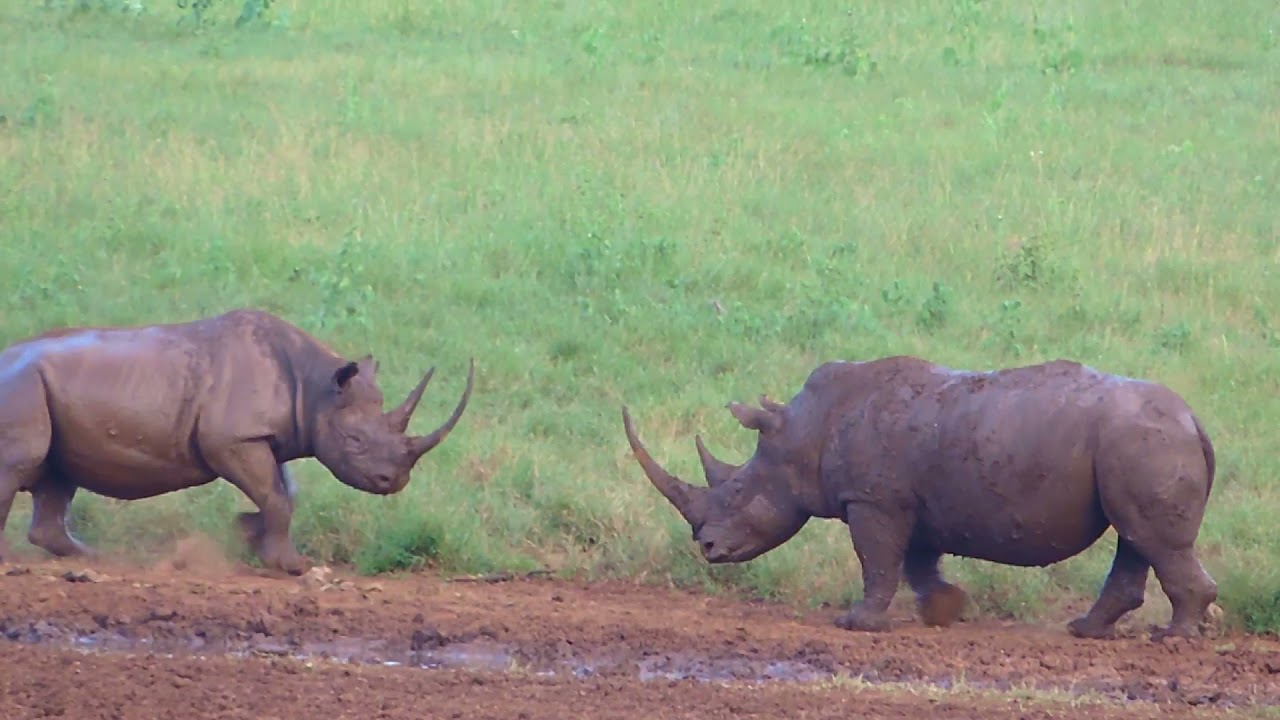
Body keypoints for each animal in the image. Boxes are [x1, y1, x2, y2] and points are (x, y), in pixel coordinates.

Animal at [0, 308, 474, 575]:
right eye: (354, 440)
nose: (394, 481)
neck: (314, 385)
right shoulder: (232, 439)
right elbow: (277, 496)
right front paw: (290, 566)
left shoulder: (266, 436)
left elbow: (282, 493)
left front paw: (246, 533)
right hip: (21, 385)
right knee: (21, 465)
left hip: (46, 392)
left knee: (57, 475)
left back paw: (91, 557)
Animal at [622, 356, 1219, 640]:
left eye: (738, 491)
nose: (706, 548)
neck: (804, 431)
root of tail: (1194, 419)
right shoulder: (905, 503)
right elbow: (916, 562)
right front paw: (945, 609)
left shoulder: (873, 501)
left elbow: (878, 561)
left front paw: (857, 624)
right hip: (1137, 444)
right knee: (1134, 535)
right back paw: (1087, 631)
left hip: (1143, 442)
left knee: (1151, 538)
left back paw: (1173, 636)